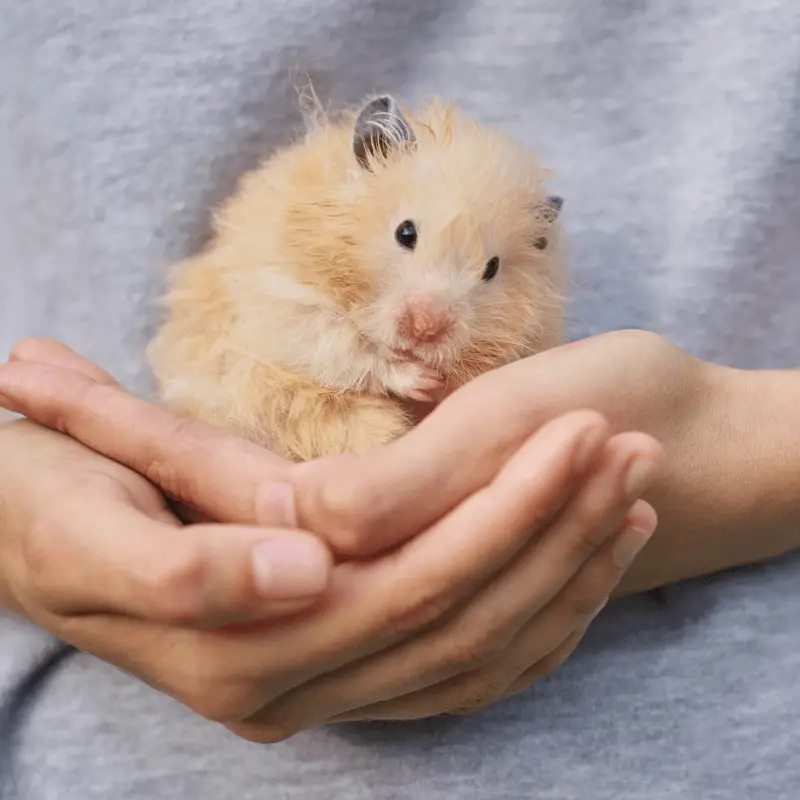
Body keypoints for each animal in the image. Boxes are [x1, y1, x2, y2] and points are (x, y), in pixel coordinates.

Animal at [147, 92, 564, 462]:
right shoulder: (288, 303)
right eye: (405, 232)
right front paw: (420, 380)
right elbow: (350, 353)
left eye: (492, 268)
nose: (425, 328)